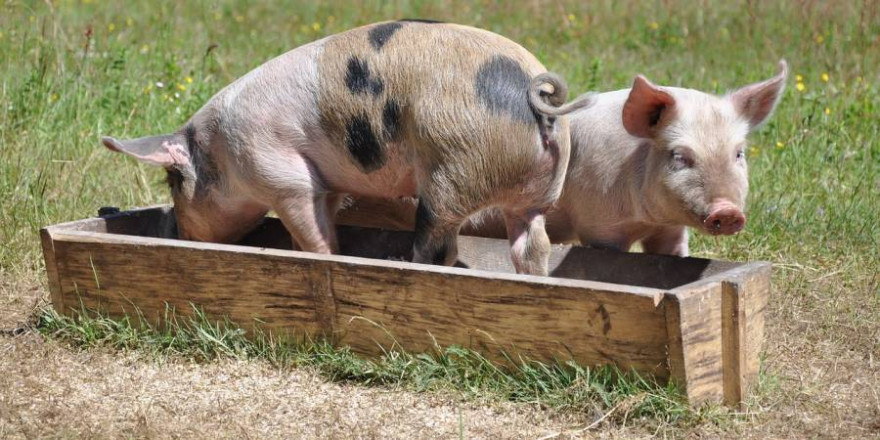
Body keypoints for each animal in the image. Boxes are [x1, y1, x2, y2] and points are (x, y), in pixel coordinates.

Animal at [103, 21, 600, 276]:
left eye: (173, 181)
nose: (179, 232)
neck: (221, 153)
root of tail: (535, 94)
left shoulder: (282, 175)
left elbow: (314, 233)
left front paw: (323, 258)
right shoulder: (325, 182)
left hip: (451, 173)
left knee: (437, 245)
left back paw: (410, 263)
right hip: (536, 196)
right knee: (532, 246)